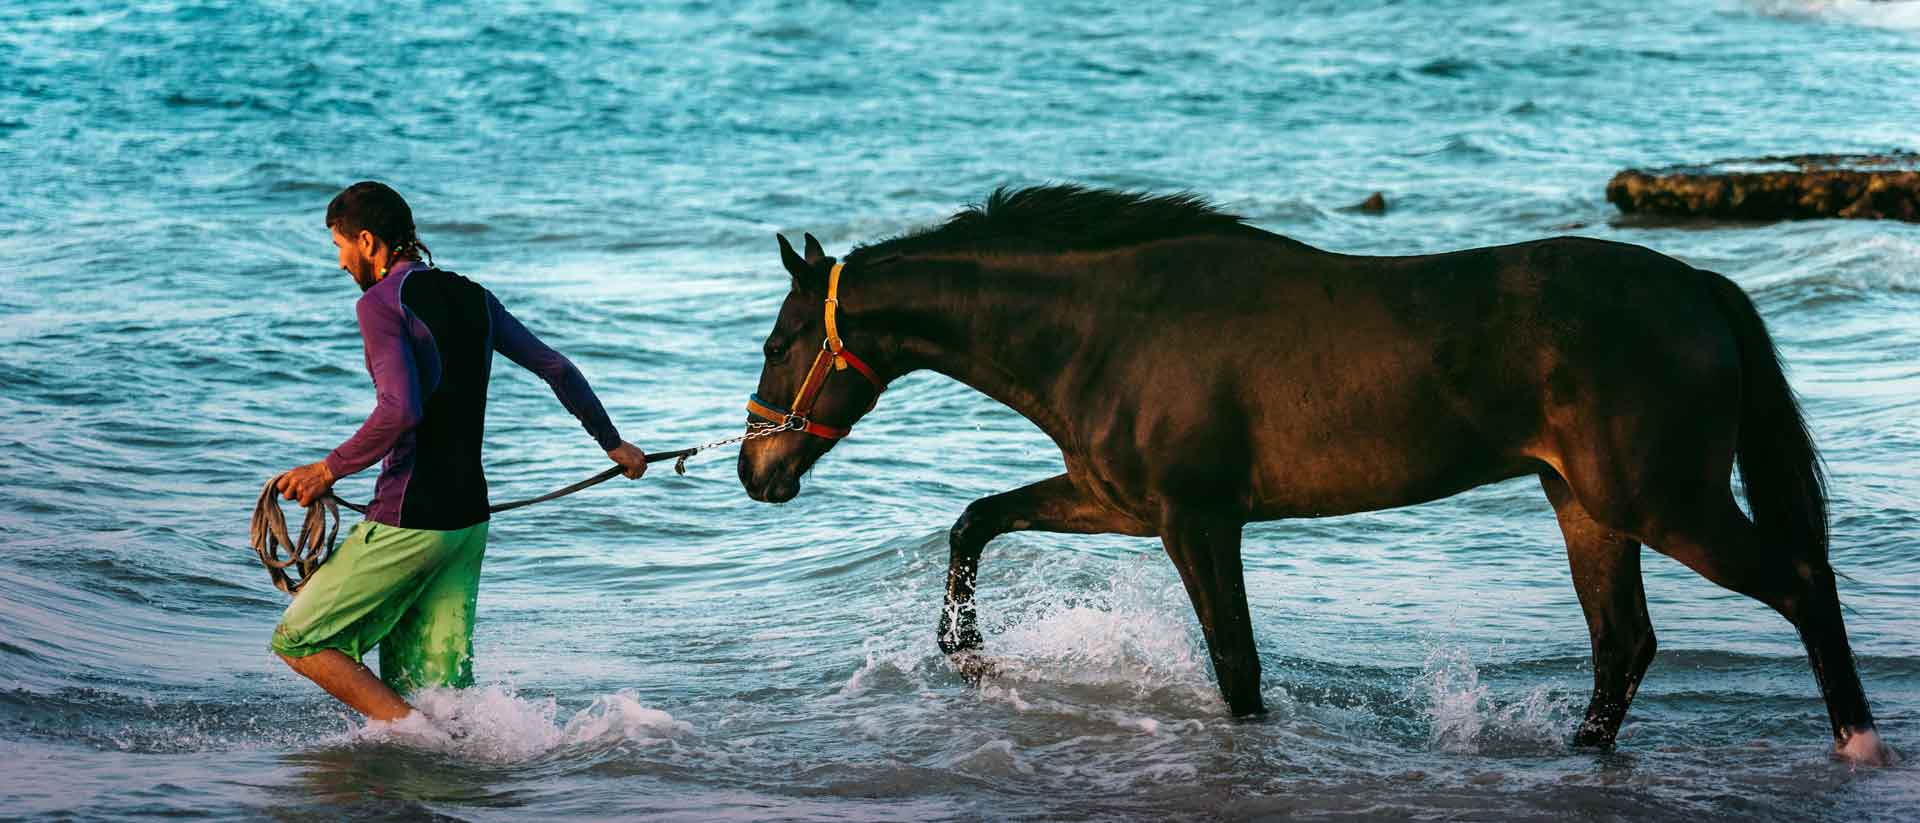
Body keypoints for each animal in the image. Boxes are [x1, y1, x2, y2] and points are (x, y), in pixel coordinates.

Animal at [735, 184, 1890, 763]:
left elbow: (1238, 667)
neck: (1109, 325)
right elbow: (975, 520)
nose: (756, 470)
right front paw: (965, 651)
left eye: (780, 340)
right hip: (1589, 506)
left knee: (1797, 586)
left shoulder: (1196, 521)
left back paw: (1859, 746)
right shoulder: (1119, 503)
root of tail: (1698, 284)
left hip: (1664, 501)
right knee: (1625, 645)